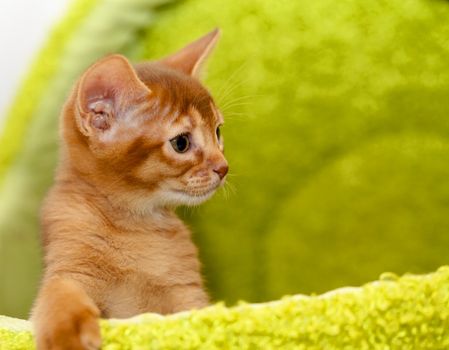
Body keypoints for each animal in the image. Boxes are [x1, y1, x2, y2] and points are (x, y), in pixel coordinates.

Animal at [31, 29, 228, 350]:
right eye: (181, 143)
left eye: (218, 132)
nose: (223, 167)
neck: (135, 225)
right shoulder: (71, 267)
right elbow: (59, 292)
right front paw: (67, 332)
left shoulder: (187, 293)